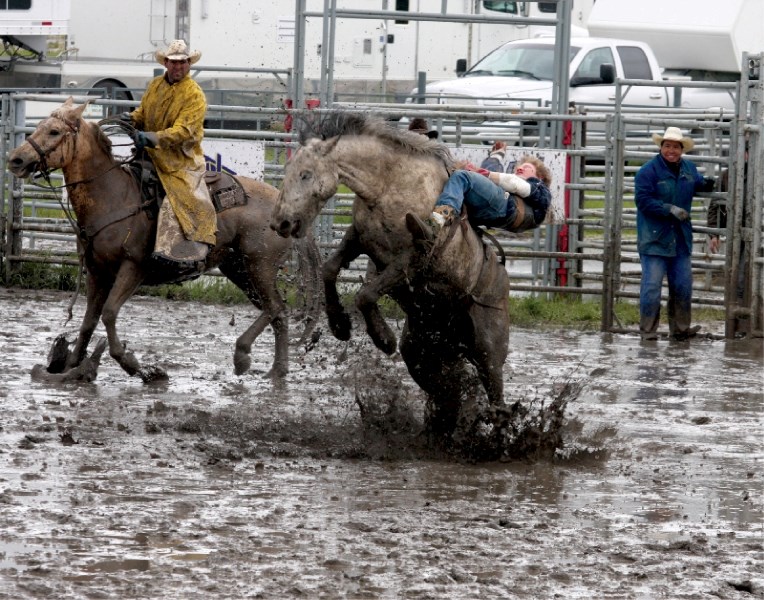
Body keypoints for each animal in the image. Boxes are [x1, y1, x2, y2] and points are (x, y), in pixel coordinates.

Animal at [8, 96, 320, 382]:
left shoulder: (133, 267)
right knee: (274, 311)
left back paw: (253, 360)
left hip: (259, 266)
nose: (16, 159)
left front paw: (139, 367)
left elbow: (108, 313)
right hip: (237, 268)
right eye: (40, 126)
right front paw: (72, 365)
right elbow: (88, 321)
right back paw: (267, 366)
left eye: (54, 132)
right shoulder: (96, 271)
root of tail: (283, 205)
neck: (113, 196)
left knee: (277, 308)